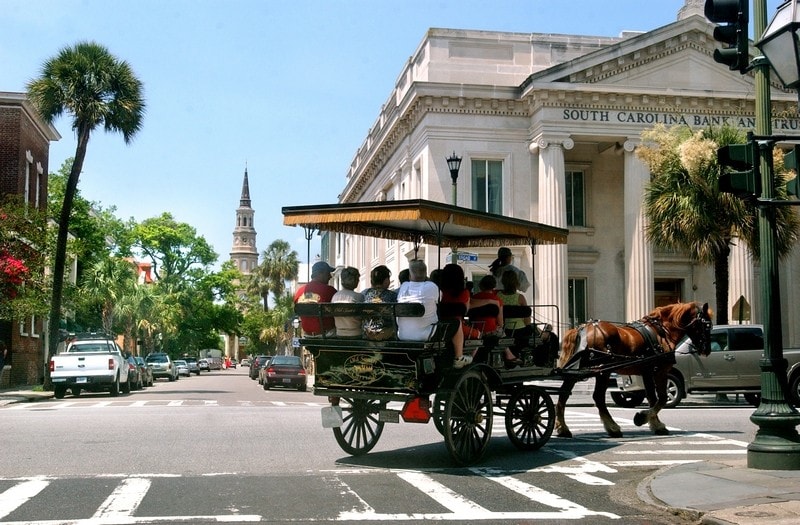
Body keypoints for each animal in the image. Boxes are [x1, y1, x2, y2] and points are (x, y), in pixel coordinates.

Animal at [556, 300, 712, 436]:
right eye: (707, 325)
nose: (706, 350)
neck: (663, 332)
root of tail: (581, 329)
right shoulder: (659, 371)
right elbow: (661, 398)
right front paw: (644, 418)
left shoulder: (646, 372)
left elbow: (652, 398)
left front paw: (655, 424)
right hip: (602, 372)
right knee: (598, 397)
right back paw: (612, 427)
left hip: (579, 370)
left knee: (564, 394)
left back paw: (563, 428)